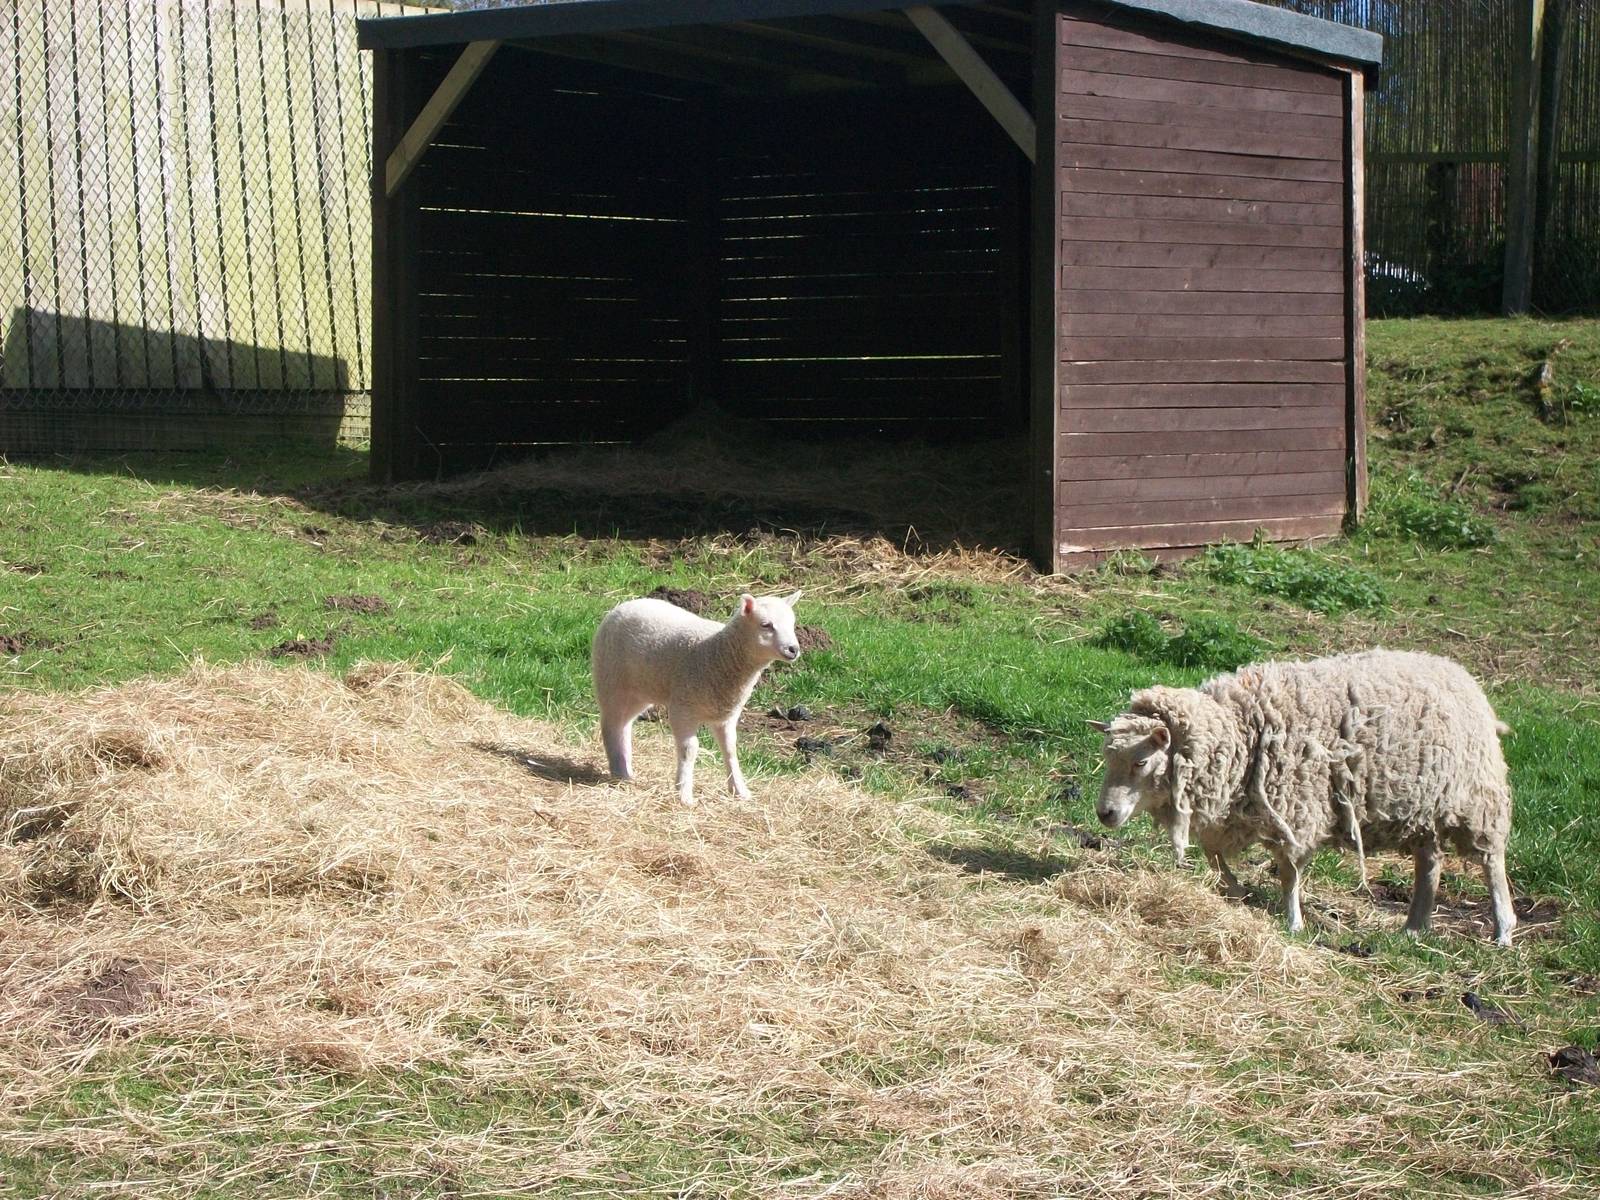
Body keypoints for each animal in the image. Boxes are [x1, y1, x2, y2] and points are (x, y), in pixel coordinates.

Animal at [592, 591, 802, 805]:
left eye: (792, 624)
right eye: (766, 625)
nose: (793, 649)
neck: (719, 653)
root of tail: (624, 605)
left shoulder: (726, 714)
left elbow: (730, 749)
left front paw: (739, 790)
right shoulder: (682, 708)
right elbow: (689, 750)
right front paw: (684, 793)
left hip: (640, 690)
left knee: (624, 724)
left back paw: (626, 771)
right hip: (612, 681)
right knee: (611, 724)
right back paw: (619, 771)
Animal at [1090, 649, 1517, 946]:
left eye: (1142, 761)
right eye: (1108, 758)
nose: (1104, 813)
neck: (1239, 731)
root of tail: (1460, 674)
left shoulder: (1296, 809)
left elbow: (1289, 873)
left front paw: (1293, 922)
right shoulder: (1235, 809)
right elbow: (1213, 854)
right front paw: (1235, 889)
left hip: (1478, 799)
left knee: (1492, 862)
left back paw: (1503, 930)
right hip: (1427, 806)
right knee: (1430, 863)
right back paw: (1414, 927)